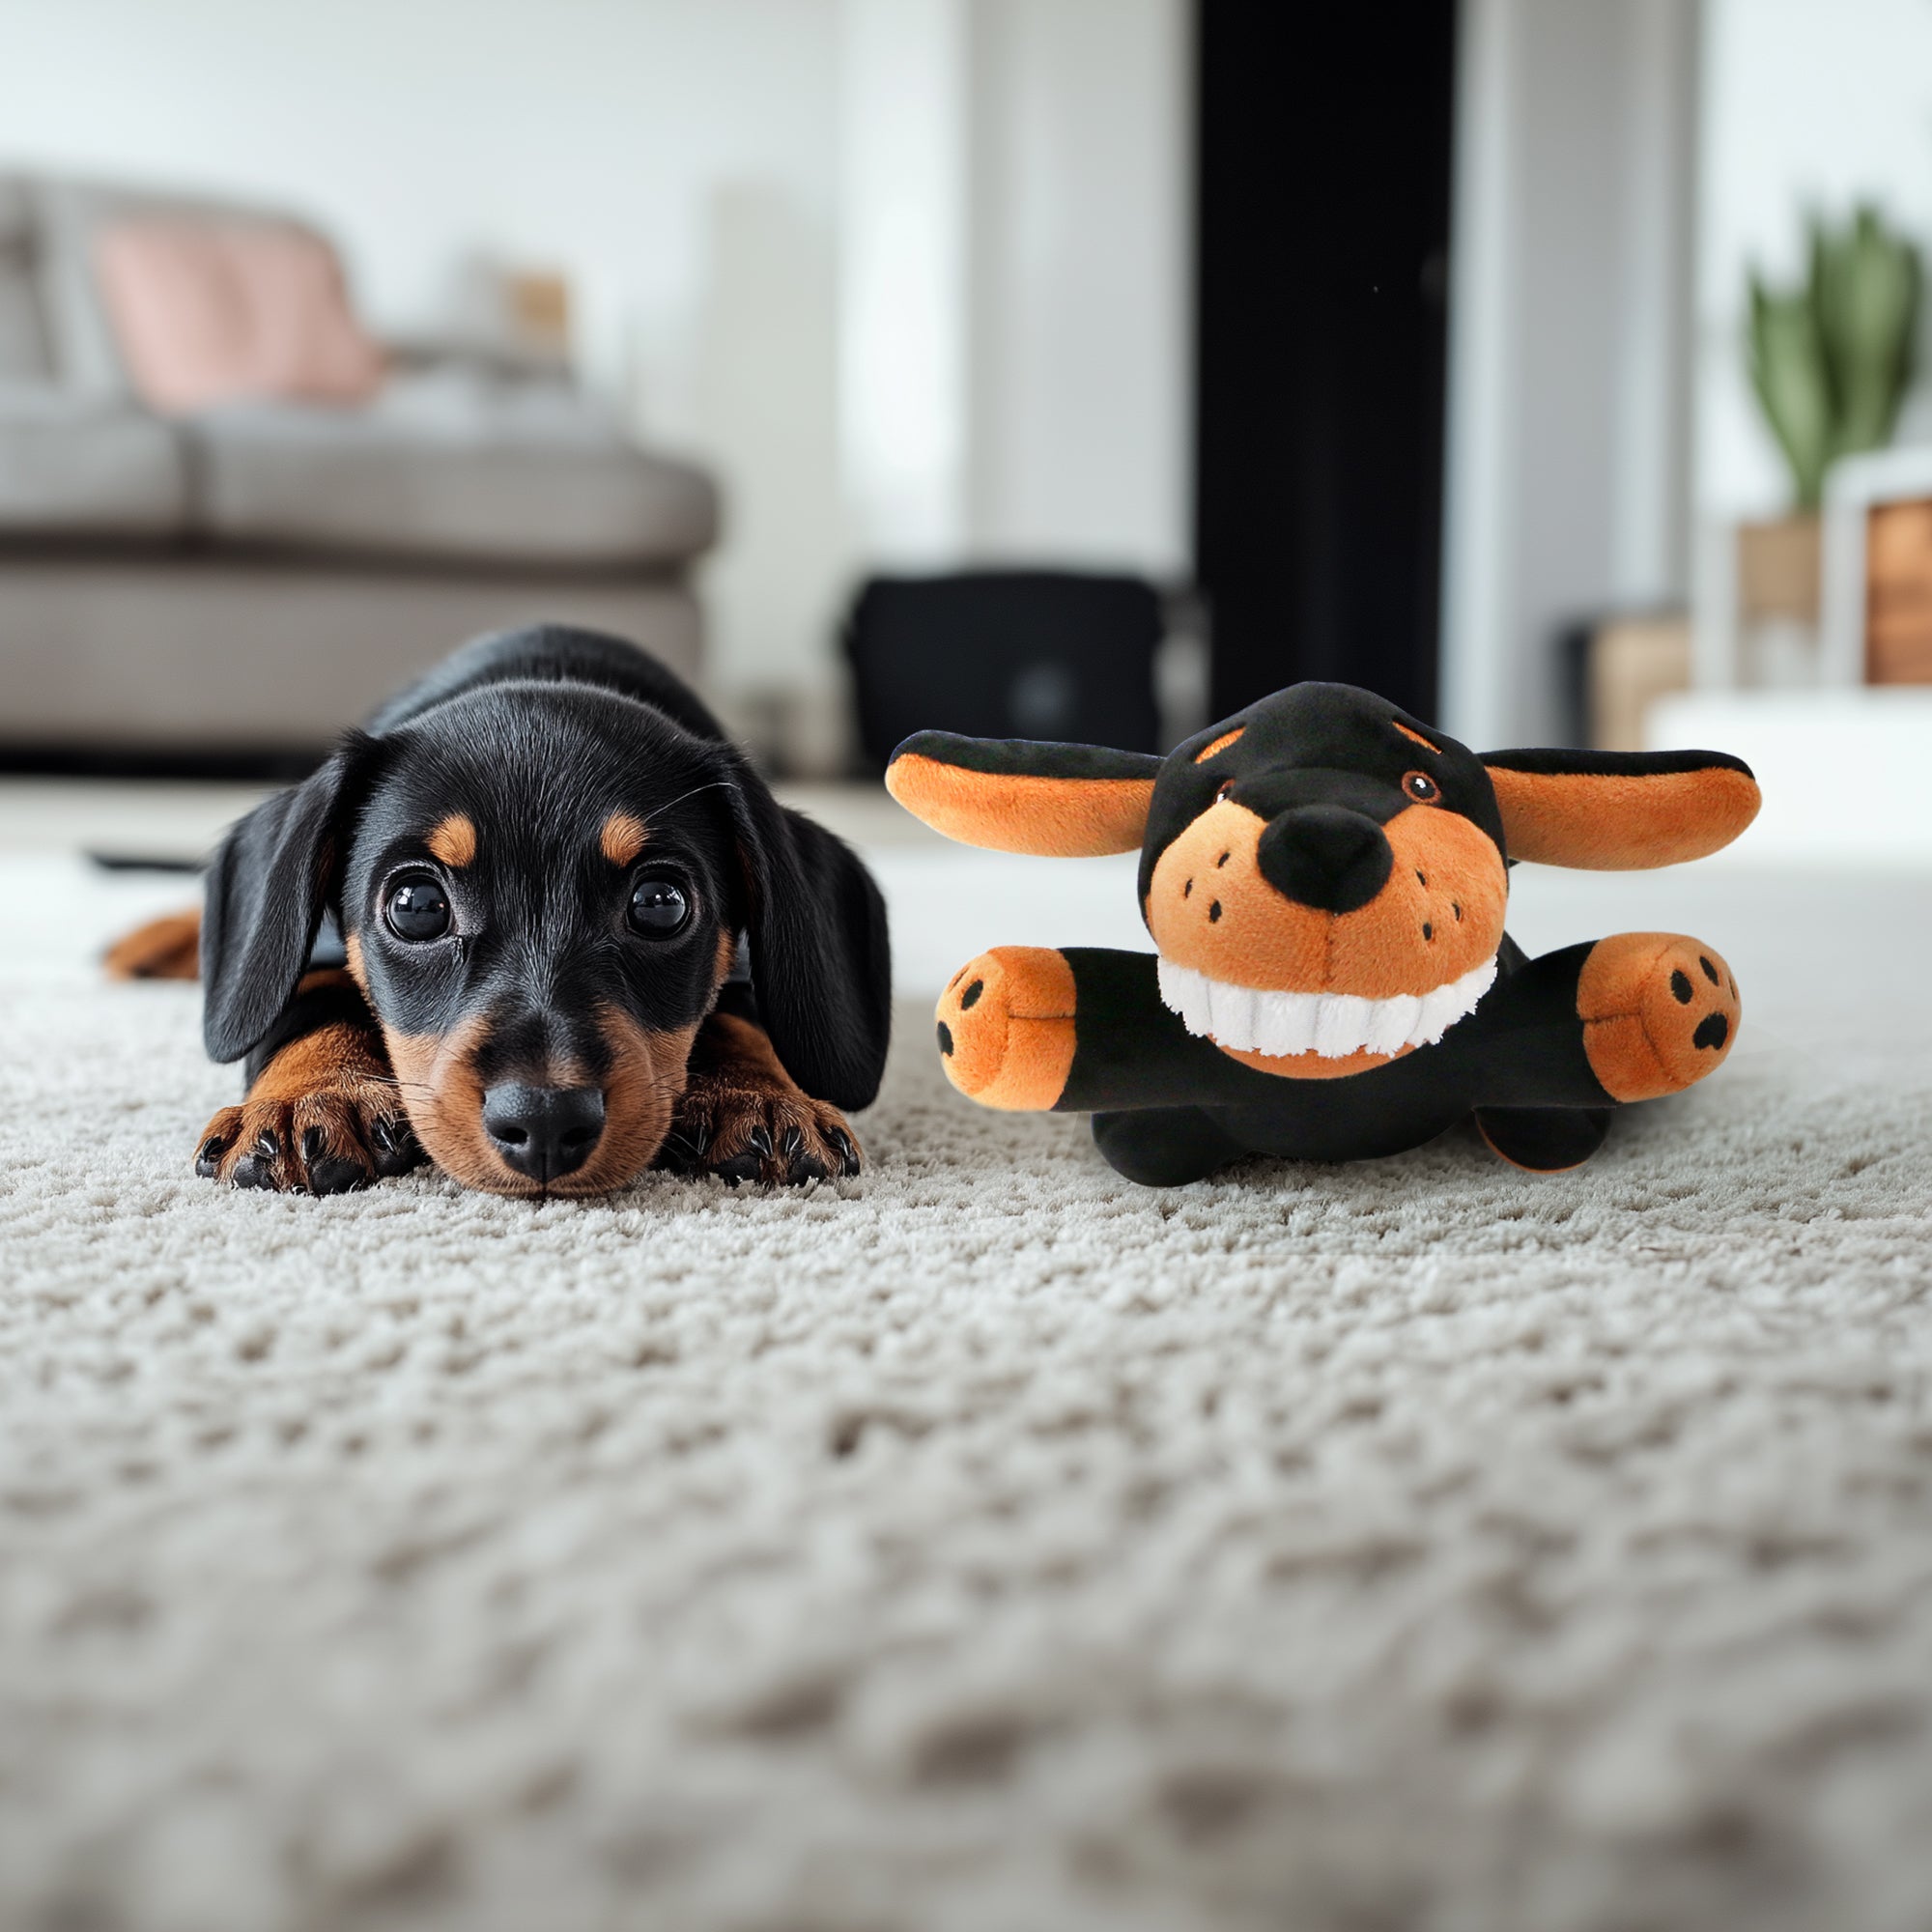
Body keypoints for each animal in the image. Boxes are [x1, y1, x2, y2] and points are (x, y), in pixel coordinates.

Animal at [107, 626, 889, 1190]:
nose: (544, 1125)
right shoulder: (322, 944)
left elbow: (739, 1011)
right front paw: (314, 1098)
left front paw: (755, 1095)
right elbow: (312, 995)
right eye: (416, 904)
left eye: (661, 904)